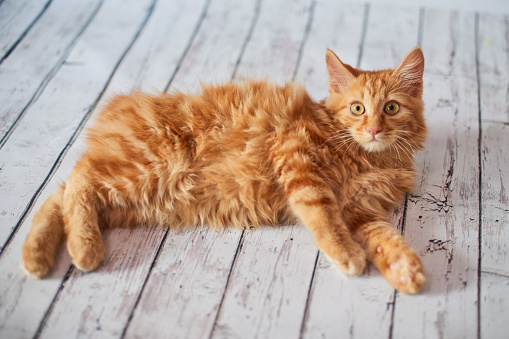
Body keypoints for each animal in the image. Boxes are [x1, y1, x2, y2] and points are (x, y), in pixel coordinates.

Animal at [20, 47, 424, 294]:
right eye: (357, 109)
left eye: (390, 108)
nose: (374, 130)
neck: (369, 157)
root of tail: (114, 107)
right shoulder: (296, 156)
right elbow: (323, 215)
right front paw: (346, 253)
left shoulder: (362, 209)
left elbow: (384, 237)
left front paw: (404, 268)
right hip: (144, 170)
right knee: (76, 183)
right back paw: (84, 248)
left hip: (130, 199)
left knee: (59, 194)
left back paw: (36, 255)